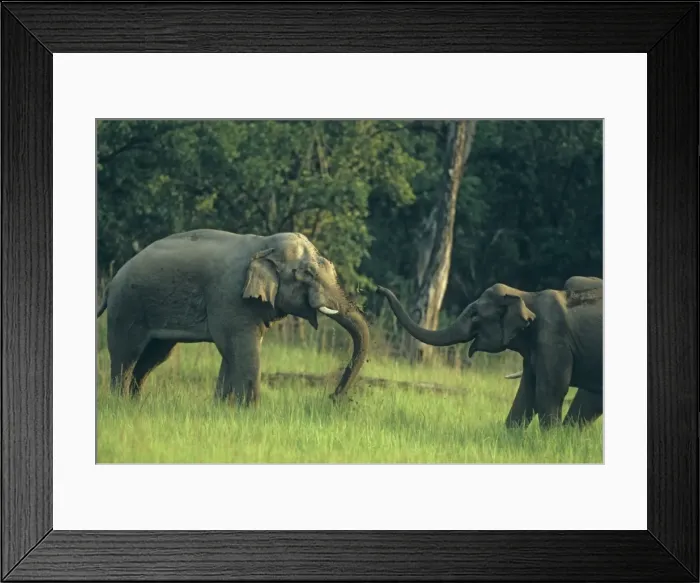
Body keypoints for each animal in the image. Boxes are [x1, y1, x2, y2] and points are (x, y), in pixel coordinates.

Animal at [96, 229, 370, 406]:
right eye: (309, 274)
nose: (334, 397)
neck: (263, 244)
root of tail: (111, 284)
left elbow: (232, 352)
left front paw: (222, 408)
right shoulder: (230, 297)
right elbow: (241, 347)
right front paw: (249, 410)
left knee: (154, 356)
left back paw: (134, 404)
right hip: (127, 307)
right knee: (126, 354)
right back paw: (119, 403)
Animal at [376, 276, 602, 429]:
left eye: (475, 315)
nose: (379, 289)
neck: (527, 294)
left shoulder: (554, 340)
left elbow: (550, 391)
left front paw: (550, 442)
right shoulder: (536, 350)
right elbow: (526, 393)